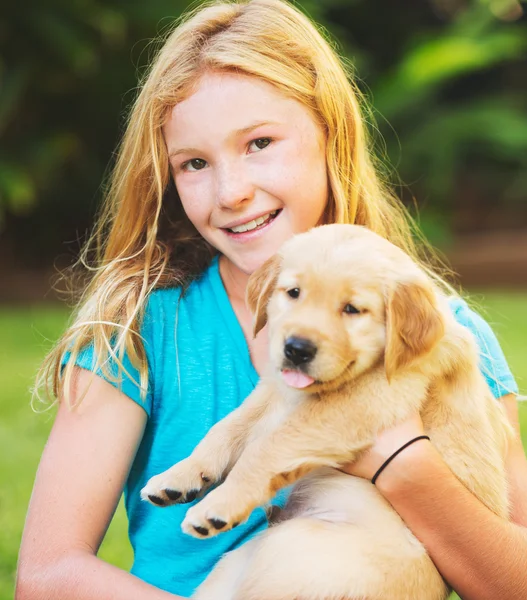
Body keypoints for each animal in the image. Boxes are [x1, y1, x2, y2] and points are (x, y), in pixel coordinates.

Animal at [142, 224, 512, 600]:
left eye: (352, 309)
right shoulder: (276, 386)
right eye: (294, 293)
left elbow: (268, 446)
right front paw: (181, 476)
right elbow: (228, 427)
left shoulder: (368, 398)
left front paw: (219, 504)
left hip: (288, 549)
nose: (296, 349)